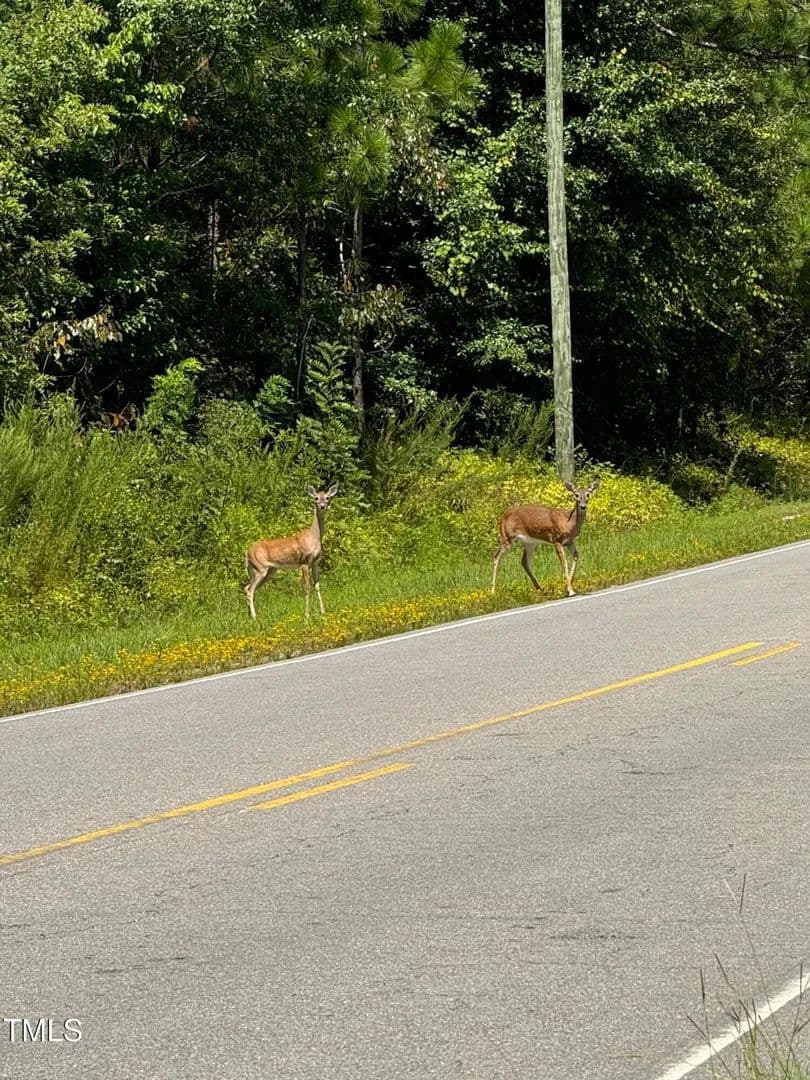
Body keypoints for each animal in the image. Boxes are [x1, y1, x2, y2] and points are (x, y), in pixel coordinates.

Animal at [244, 484, 338, 620]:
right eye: (316, 498)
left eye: (327, 497)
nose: (322, 506)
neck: (314, 537)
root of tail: (247, 553)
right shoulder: (304, 562)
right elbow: (307, 588)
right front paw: (307, 615)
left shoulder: (316, 563)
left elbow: (317, 586)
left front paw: (323, 612)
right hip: (260, 568)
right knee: (250, 590)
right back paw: (255, 617)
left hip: (269, 571)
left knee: (247, 587)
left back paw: (250, 616)